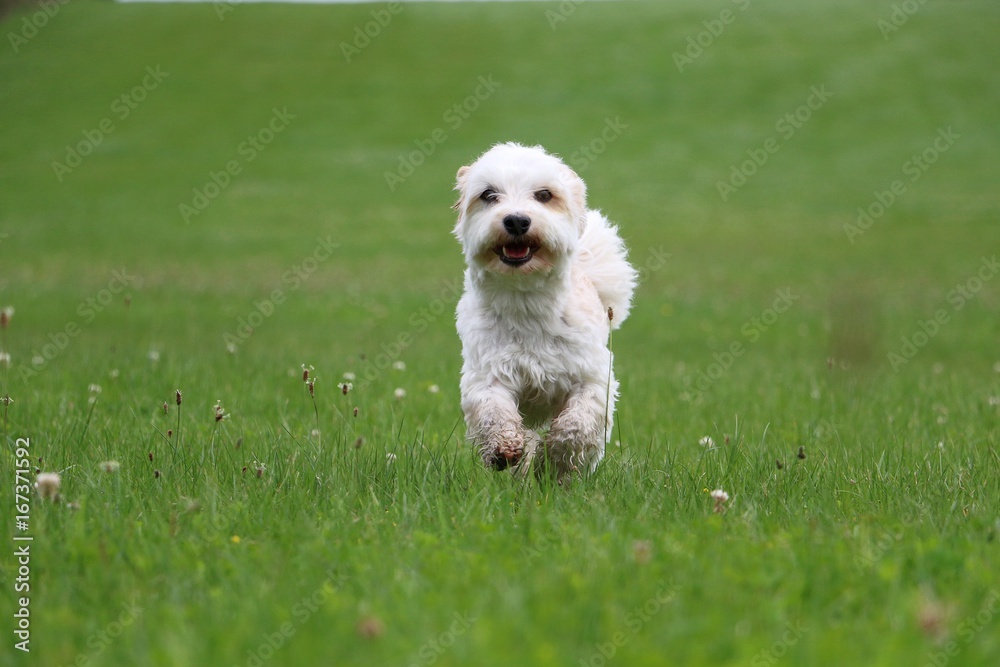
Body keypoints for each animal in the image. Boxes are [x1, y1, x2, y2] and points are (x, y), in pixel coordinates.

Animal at [456, 144, 640, 478]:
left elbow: (578, 424)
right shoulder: (487, 374)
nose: (517, 220)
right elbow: (493, 411)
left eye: (544, 195)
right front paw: (504, 449)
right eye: (488, 194)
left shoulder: (594, 377)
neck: (527, 300)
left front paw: (556, 459)